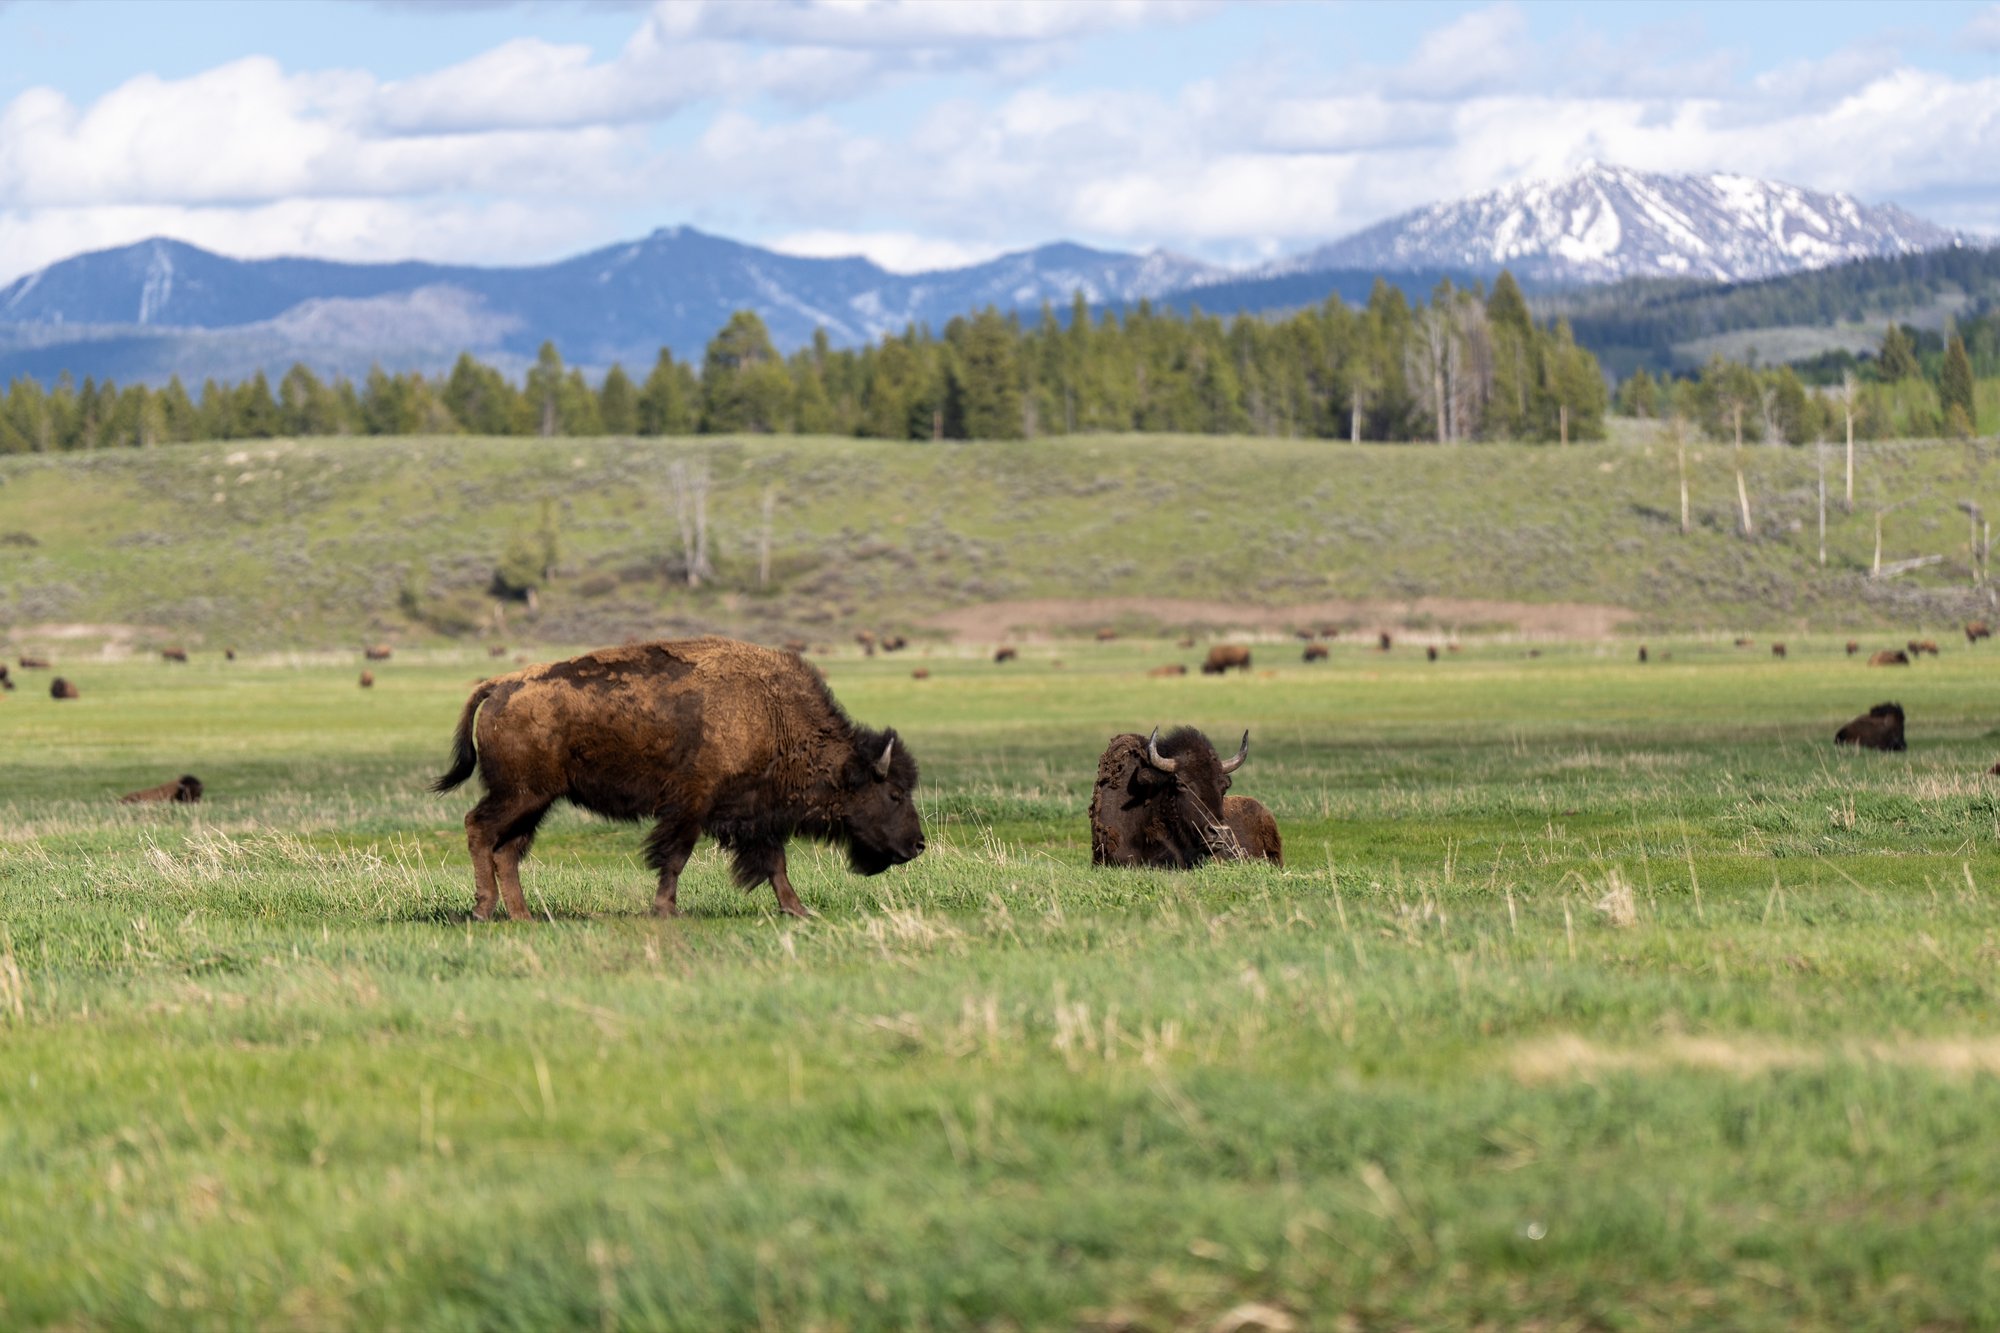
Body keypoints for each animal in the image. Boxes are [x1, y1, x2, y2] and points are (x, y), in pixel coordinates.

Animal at [434, 636, 924, 921]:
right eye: (894, 794)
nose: (918, 845)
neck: (771, 712)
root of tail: (499, 685)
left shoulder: (756, 814)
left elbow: (774, 863)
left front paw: (798, 910)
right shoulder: (692, 806)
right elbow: (675, 857)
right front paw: (666, 909)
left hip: (535, 802)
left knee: (507, 850)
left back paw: (523, 916)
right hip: (520, 795)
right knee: (480, 830)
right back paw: (483, 910)